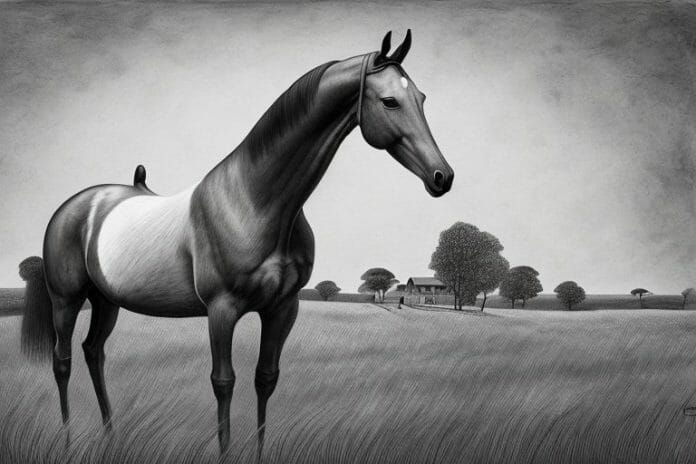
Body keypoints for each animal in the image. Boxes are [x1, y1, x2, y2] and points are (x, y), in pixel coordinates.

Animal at [20, 29, 454, 459]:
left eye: (422, 98)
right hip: (67, 299)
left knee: (94, 352)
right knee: (62, 361)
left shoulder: (283, 308)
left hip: (106, 300)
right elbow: (224, 382)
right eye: (389, 101)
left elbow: (265, 378)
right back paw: (68, 439)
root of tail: (79, 204)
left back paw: (111, 435)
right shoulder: (222, 310)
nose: (442, 177)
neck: (252, 201)